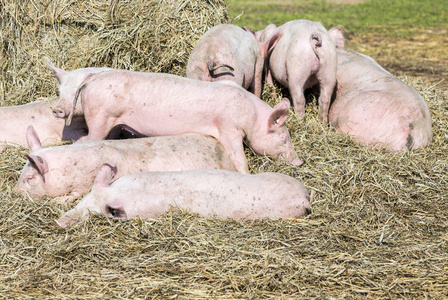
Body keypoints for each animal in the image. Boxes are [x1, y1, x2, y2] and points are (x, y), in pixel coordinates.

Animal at [15, 125, 236, 203]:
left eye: (30, 177)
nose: (15, 192)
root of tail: (225, 155)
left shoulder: (83, 184)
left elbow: (74, 194)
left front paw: (58, 201)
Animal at [62, 70, 304, 173]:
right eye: (284, 139)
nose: (299, 162)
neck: (250, 115)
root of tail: (94, 78)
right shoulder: (229, 129)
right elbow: (239, 159)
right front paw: (247, 175)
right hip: (100, 117)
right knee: (86, 139)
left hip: (112, 122)